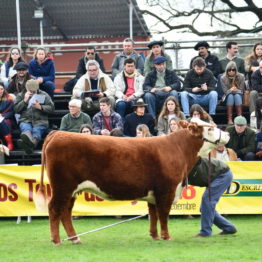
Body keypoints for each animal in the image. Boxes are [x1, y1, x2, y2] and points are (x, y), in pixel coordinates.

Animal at [34, 119, 229, 245]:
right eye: (210, 129)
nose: (227, 133)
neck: (179, 149)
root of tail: (57, 133)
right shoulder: (166, 190)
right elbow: (164, 214)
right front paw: (167, 237)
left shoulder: (153, 193)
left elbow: (153, 214)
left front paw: (155, 236)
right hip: (63, 187)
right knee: (55, 209)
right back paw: (56, 240)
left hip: (72, 190)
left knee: (65, 212)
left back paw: (75, 239)